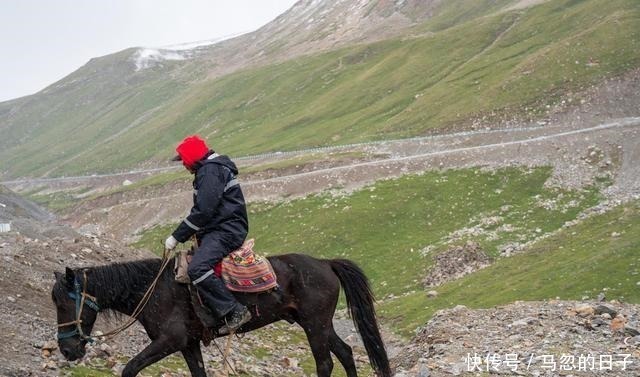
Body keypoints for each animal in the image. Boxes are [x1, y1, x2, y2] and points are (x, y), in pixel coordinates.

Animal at [51, 253, 390, 376]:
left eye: (62, 303)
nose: (67, 350)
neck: (152, 289)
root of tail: (324, 263)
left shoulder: (169, 342)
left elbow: (130, 368)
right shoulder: (188, 344)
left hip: (315, 325)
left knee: (325, 363)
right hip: (317, 323)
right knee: (345, 353)